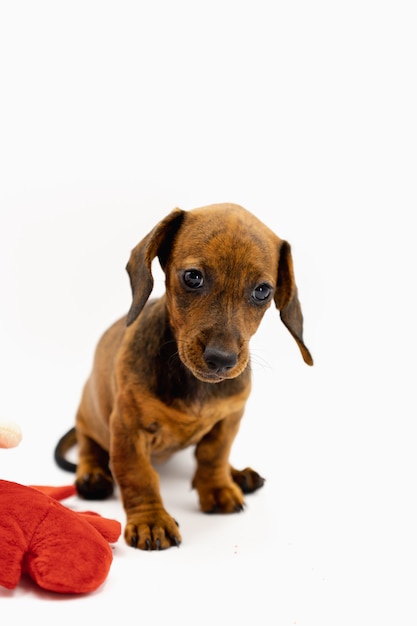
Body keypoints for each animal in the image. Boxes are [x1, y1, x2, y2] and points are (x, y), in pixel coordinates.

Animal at [55, 204, 310, 544]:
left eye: (262, 291)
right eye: (192, 277)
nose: (222, 360)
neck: (195, 383)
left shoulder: (229, 418)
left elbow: (214, 456)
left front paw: (218, 487)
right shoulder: (127, 428)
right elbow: (137, 475)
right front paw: (151, 520)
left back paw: (237, 475)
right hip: (90, 417)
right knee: (89, 446)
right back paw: (93, 474)